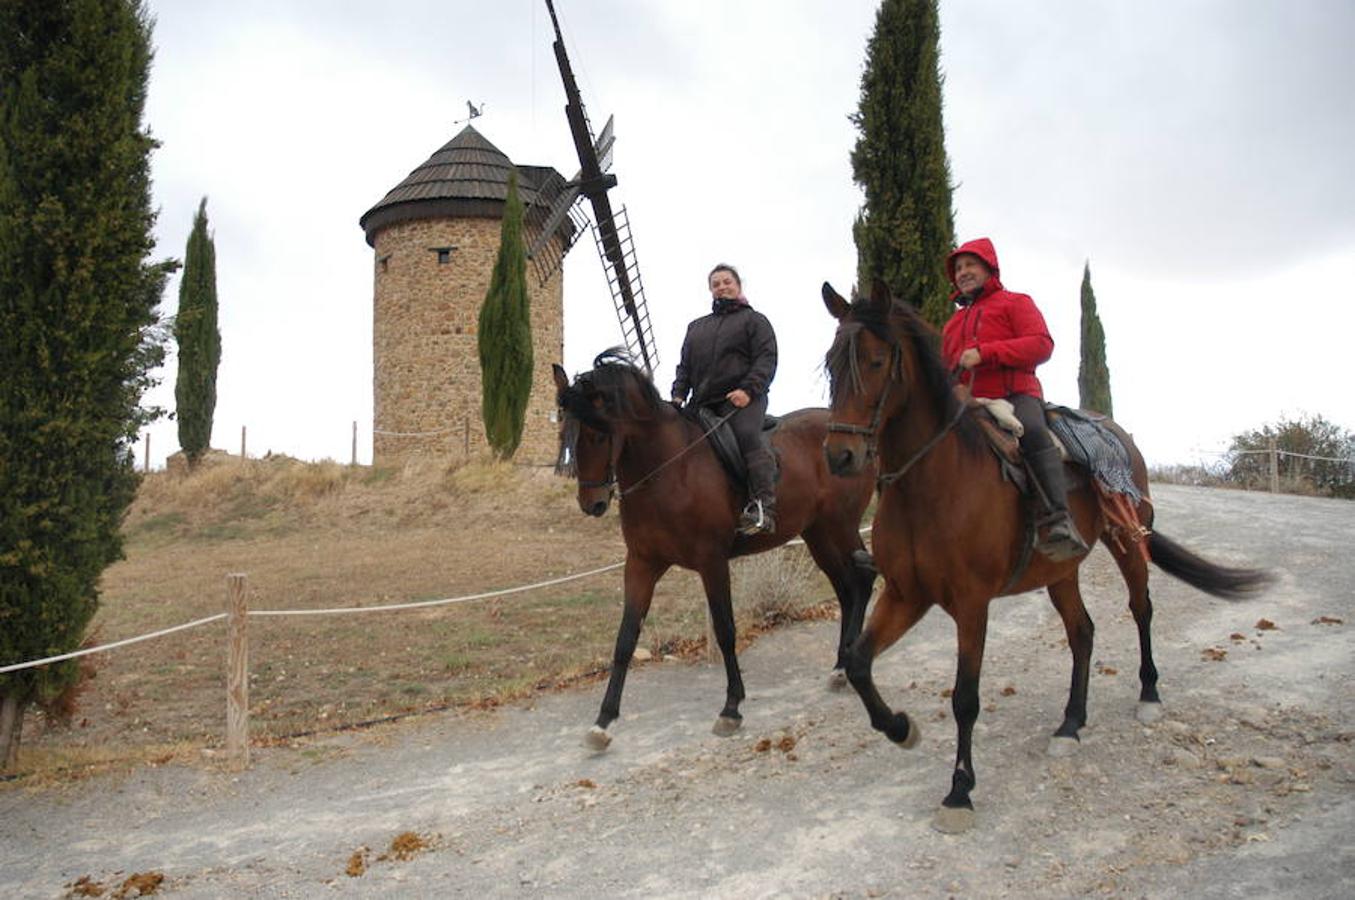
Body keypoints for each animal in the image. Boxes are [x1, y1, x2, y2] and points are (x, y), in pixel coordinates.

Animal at [552, 352, 878, 753]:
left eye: (598, 435)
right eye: (564, 433)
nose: (592, 503)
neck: (668, 468)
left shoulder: (712, 562)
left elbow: (725, 630)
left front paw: (731, 708)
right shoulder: (642, 563)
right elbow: (625, 638)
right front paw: (603, 721)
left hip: (840, 526)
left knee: (862, 580)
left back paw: (847, 666)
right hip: (819, 534)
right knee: (847, 589)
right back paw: (840, 666)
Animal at [818, 284, 1273, 834]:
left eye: (877, 361)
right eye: (830, 365)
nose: (839, 456)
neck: (930, 483)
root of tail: (1113, 431)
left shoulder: (972, 604)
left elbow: (965, 698)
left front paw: (959, 791)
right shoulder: (906, 595)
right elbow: (859, 663)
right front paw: (901, 728)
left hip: (1126, 541)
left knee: (1141, 610)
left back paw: (1148, 696)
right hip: (1061, 573)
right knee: (1083, 632)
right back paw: (1070, 724)